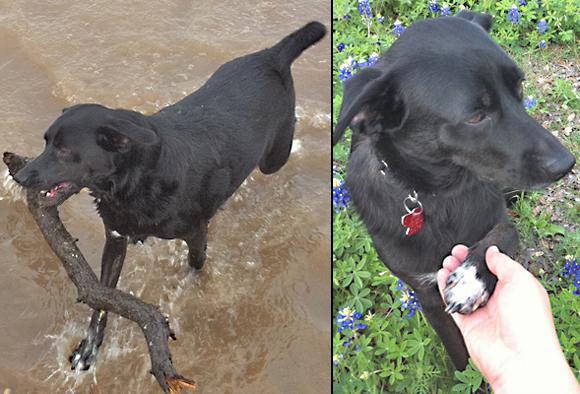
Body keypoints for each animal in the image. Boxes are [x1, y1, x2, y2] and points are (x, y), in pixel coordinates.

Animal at [13, 21, 326, 370]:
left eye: (65, 151)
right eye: (45, 142)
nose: (20, 176)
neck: (134, 180)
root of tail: (271, 55)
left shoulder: (196, 233)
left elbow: (195, 265)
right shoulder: (116, 238)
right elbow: (102, 299)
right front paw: (89, 349)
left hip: (272, 159)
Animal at [334, 11, 572, 370]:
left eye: (519, 87)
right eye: (475, 116)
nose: (567, 163)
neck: (441, 195)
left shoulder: (496, 220)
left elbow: (505, 232)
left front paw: (473, 277)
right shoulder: (425, 292)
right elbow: (457, 351)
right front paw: (464, 375)